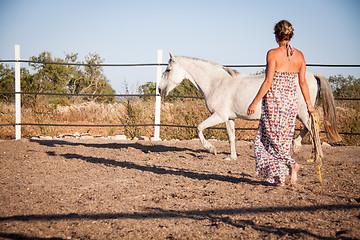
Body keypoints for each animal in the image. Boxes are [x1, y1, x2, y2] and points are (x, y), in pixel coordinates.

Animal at [159, 53, 342, 160]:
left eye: (167, 70)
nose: (160, 90)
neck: (217, 83)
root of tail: (310, 75)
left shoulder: (218, 116)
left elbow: (199, 128)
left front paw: (211, 149)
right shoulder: (229, 118)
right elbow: (231, 137)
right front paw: (231, 157)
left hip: (303, 112)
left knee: (314, 130)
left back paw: (317, 156)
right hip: (299, 113)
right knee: (308, 129)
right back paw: (295, 149)